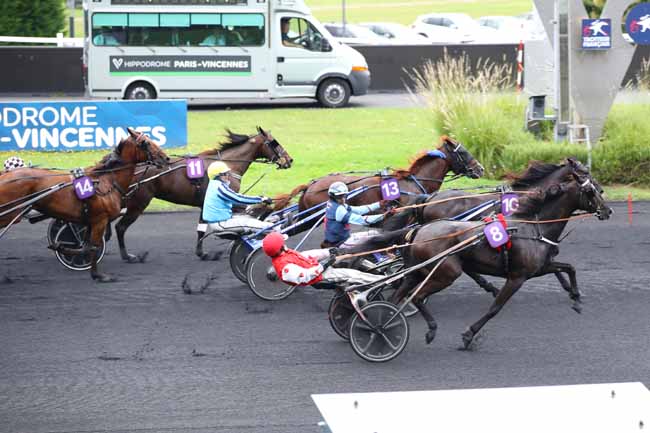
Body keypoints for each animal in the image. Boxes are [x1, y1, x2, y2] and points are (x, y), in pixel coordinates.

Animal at [0, 127, 170, 284]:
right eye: (146, 143)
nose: (166, 158)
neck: (106, 181)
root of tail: (5, 176)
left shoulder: (90, 221)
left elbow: (86, 246)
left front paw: (61, 248)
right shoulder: (100, 220)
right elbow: (94, 246)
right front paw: (98, 275)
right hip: (9, 214)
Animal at [113, 125, 292, 260]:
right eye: (274, 143)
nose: (289, 160)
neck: (226, 165)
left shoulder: (204, 204)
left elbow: (201, 228)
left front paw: (201, 252)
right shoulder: (229, 200)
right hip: (138, 204)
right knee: (120, 227)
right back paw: (127, 256)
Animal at [346, 159, 612, 348]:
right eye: (590, 185)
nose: (607, 210)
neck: (532, 223)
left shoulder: (539, 266)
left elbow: (567, 267)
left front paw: (575, 296)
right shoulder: (517, 276)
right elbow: (495, 308)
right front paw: (469, 335)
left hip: (419, 270)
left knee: (398, 295)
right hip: (446, 271)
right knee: (417, 295)